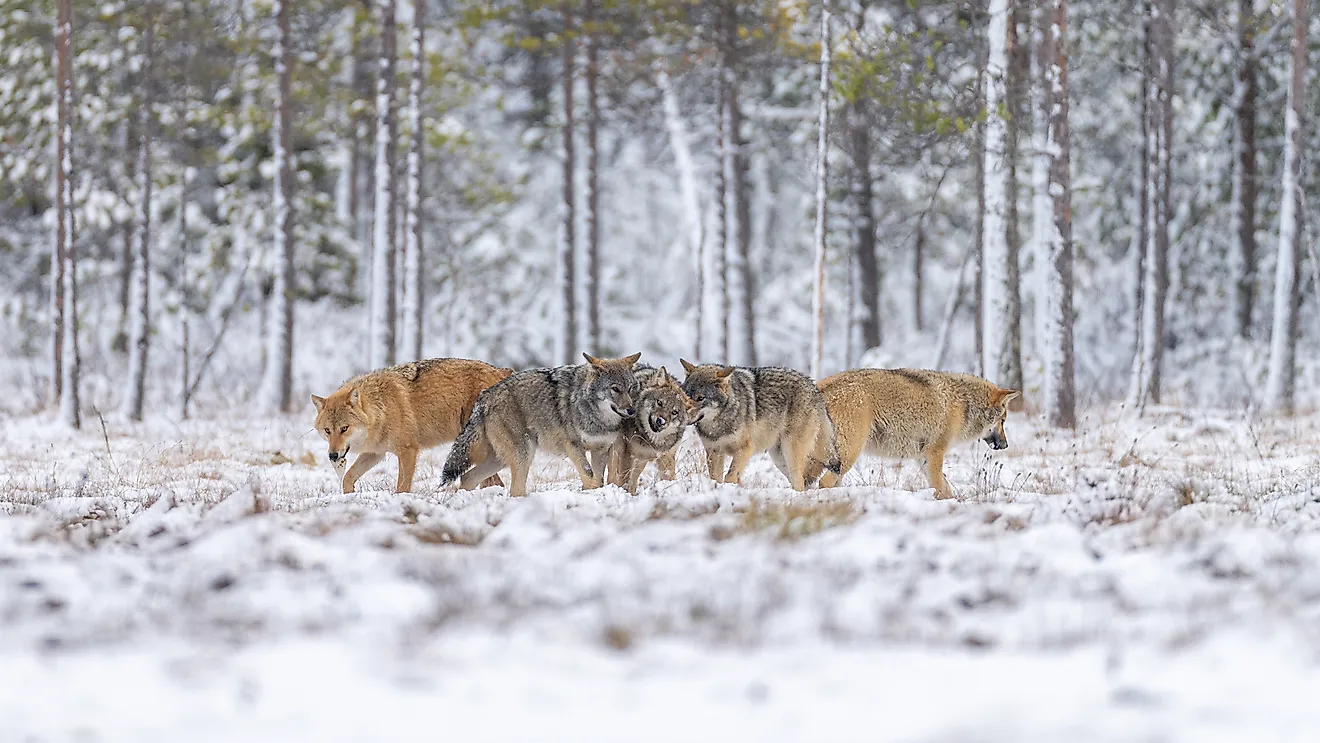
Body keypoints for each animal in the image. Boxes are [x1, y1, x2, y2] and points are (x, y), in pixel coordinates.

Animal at [311, 358, 512, 493]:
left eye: (344, 429)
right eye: (327, 431)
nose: (332, 455)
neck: (381, 408)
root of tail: (502, 371)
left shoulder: (408, 451)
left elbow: (402, 487)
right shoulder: (375, 453)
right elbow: (347, 477)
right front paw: (350, 495)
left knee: (495, 482)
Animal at [443, 351, 644, 496]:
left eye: (630, 388)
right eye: (615, 389)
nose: (631, 411)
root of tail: (485, 395)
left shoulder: (600, 449)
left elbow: (598, 478)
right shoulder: (573, 446)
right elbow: (589, 474)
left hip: (500, 459)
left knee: (468, 477)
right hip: (524, 454)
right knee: (514, 490)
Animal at [675, 358, 839, 490]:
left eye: (700, 398)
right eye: (685, 396)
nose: (682, 416)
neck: (717, 424)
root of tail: (812, 386)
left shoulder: (745, 448)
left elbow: (730, 476)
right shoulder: (714, 451)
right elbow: (716, 478)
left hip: (791, 451)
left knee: (800, 481)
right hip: (779, 458)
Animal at [802, 366, 1019, 498]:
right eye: (1003, 421)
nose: (1006, 445)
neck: (965, 403)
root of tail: (819, 387)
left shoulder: (923, 457)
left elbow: (945, 487)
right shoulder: (935, 453)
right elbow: (939, 485)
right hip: (848, 455)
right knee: (823, 482)